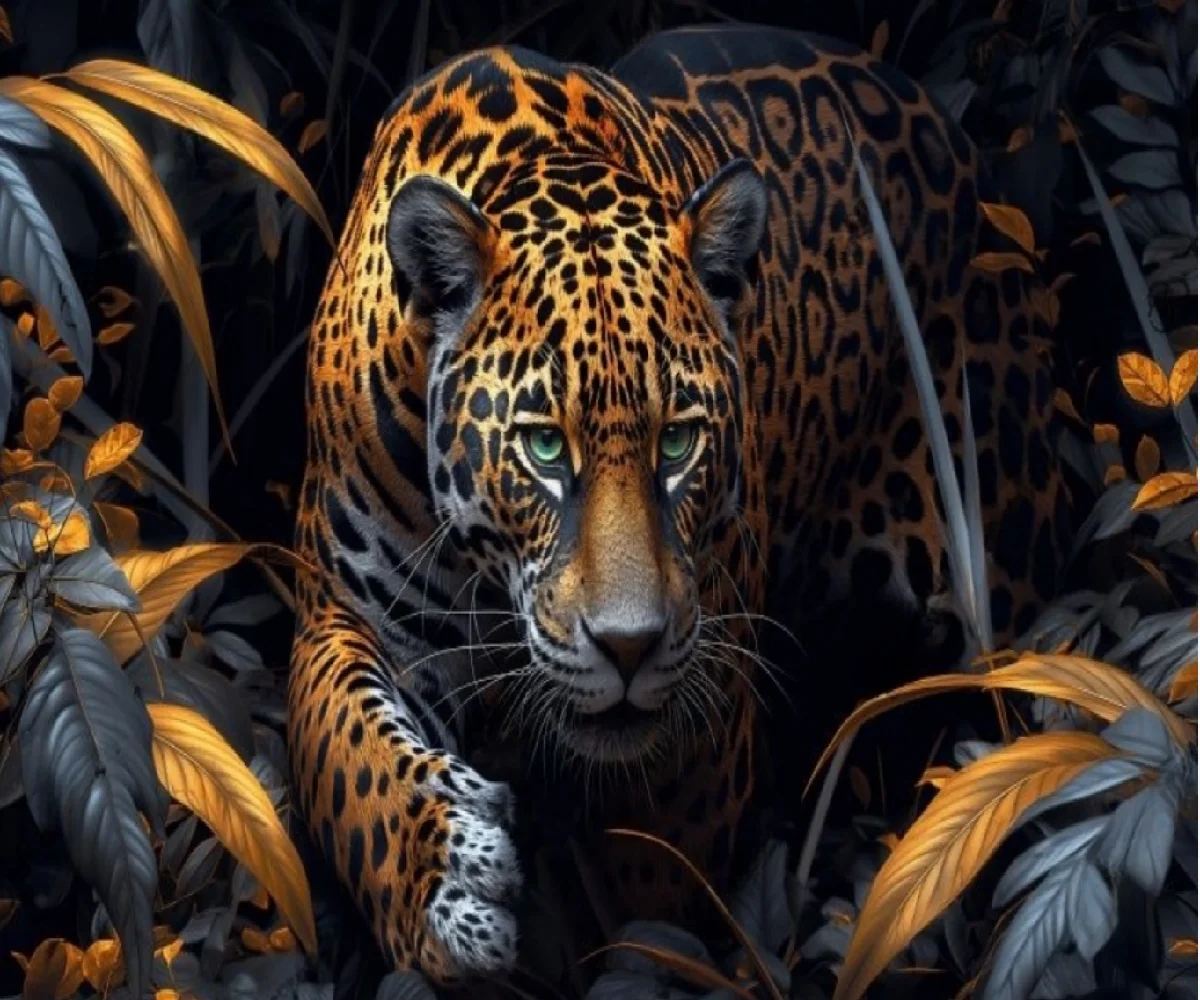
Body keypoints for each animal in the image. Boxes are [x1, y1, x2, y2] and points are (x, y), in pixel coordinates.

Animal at [286, 23, 1072, 986]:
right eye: (544, 449)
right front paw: (446, 878)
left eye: (678, 443)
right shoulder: (352, 612)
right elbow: (349, 752)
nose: (629, 646)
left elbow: (657, 908)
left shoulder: (699, 728)